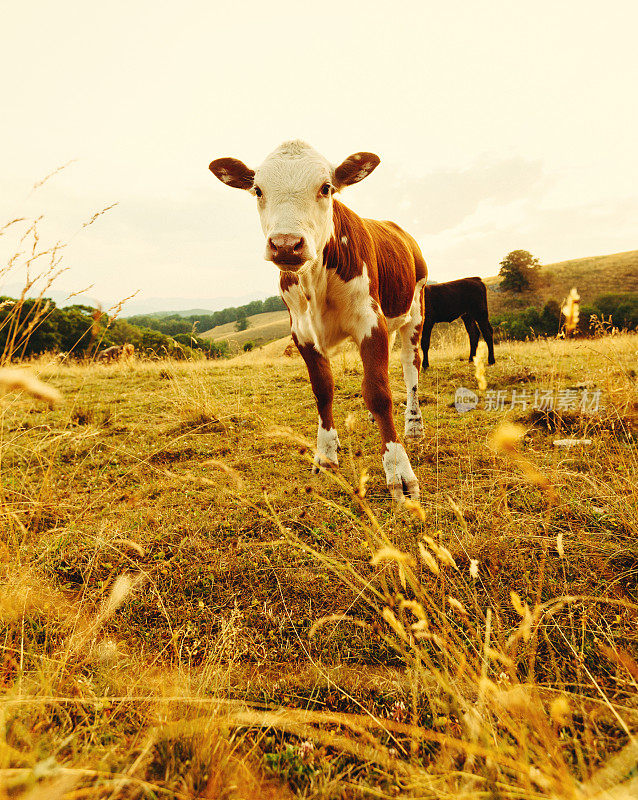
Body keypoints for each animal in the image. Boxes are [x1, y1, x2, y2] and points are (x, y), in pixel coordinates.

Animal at [211, 141, 430, 496]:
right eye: (257, 190)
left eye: (326, 188)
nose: (286, 244)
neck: (316, 278)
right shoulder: (301, 333)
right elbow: (323, 390)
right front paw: (326, 453)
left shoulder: (370, 321)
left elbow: (379, 393)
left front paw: (399, 471)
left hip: (415, 310)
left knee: (411, 368)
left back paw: (413, 425)